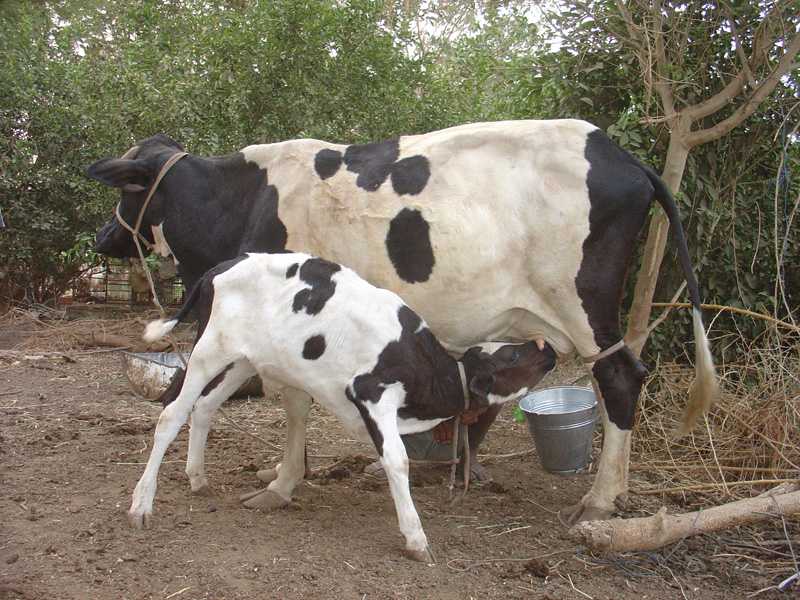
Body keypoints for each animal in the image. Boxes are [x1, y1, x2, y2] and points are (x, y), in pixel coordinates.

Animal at [87, 119, 718, 524]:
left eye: (128, 190)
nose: (101, 236)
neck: (238, 201)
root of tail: (622, 155)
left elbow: (293, 405)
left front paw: (284, 482)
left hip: (582, 304)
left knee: (621, 378)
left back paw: (601, 499)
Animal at [132, 251, 557, 561]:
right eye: (511, 357)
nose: (548, 347)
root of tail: (220, 267)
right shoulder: (370, 392)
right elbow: (397, 460)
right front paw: (416, 538)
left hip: (243, 360)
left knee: (204, 407)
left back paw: (198, 478)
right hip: (209, 350)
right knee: (171, 414)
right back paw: (141, 504)